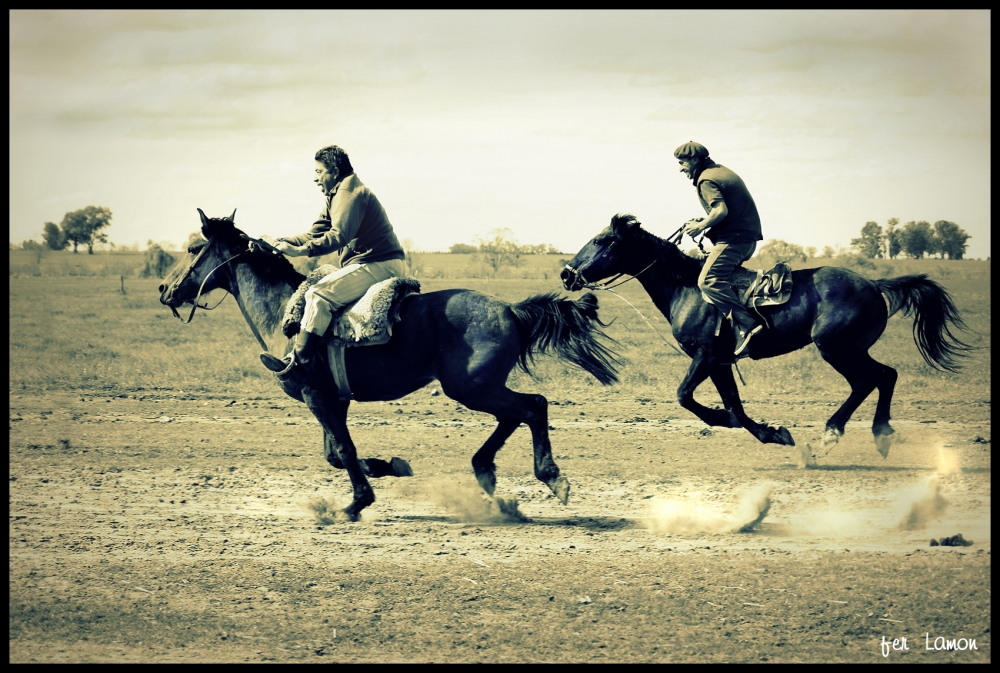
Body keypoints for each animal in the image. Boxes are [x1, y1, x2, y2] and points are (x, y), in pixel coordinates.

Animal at [160, 210, 620, 520]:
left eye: (193, 248)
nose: (165, 288)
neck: (287, 313)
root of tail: (509, 309)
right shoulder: (334, 399)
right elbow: (336, 453)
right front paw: (388, 467)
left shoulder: (315, 395)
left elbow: (343, 451)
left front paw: (354, 504)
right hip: (480, 388)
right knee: (518, 413)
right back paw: (488, 476)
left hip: (471, 388)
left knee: (533, 405)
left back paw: (550, 477)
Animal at [568, 214, 972, 456]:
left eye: (602, 241)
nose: (566, 274)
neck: (687, 287)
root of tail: (874, 284)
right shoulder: (720, 362)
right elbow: (733, 405)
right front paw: (769, 431)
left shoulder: (706, 355)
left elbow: (686, 396)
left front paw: (747, 425)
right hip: (850, 349)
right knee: (884, 376)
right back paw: (877, 433)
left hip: (837, 349)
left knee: (870, 380)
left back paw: (836, 433)